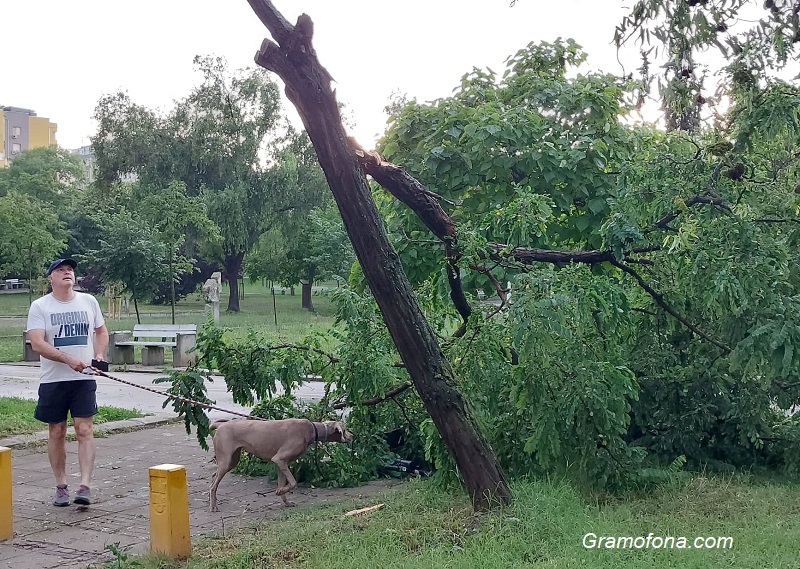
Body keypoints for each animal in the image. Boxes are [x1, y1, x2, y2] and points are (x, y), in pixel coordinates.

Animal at [209, 418, 354, 510]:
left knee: (213, 477)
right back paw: (213, 506)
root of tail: (220, 426)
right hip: (227, 460)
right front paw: (280, 491)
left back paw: (212, 501)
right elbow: (293, 483)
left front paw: (286, 501)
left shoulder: (281, 463)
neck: (312, 429)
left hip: (232, 460)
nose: (353, 436)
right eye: (345, 429)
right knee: (213, 485)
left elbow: (283, 482)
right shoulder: (279, 459)